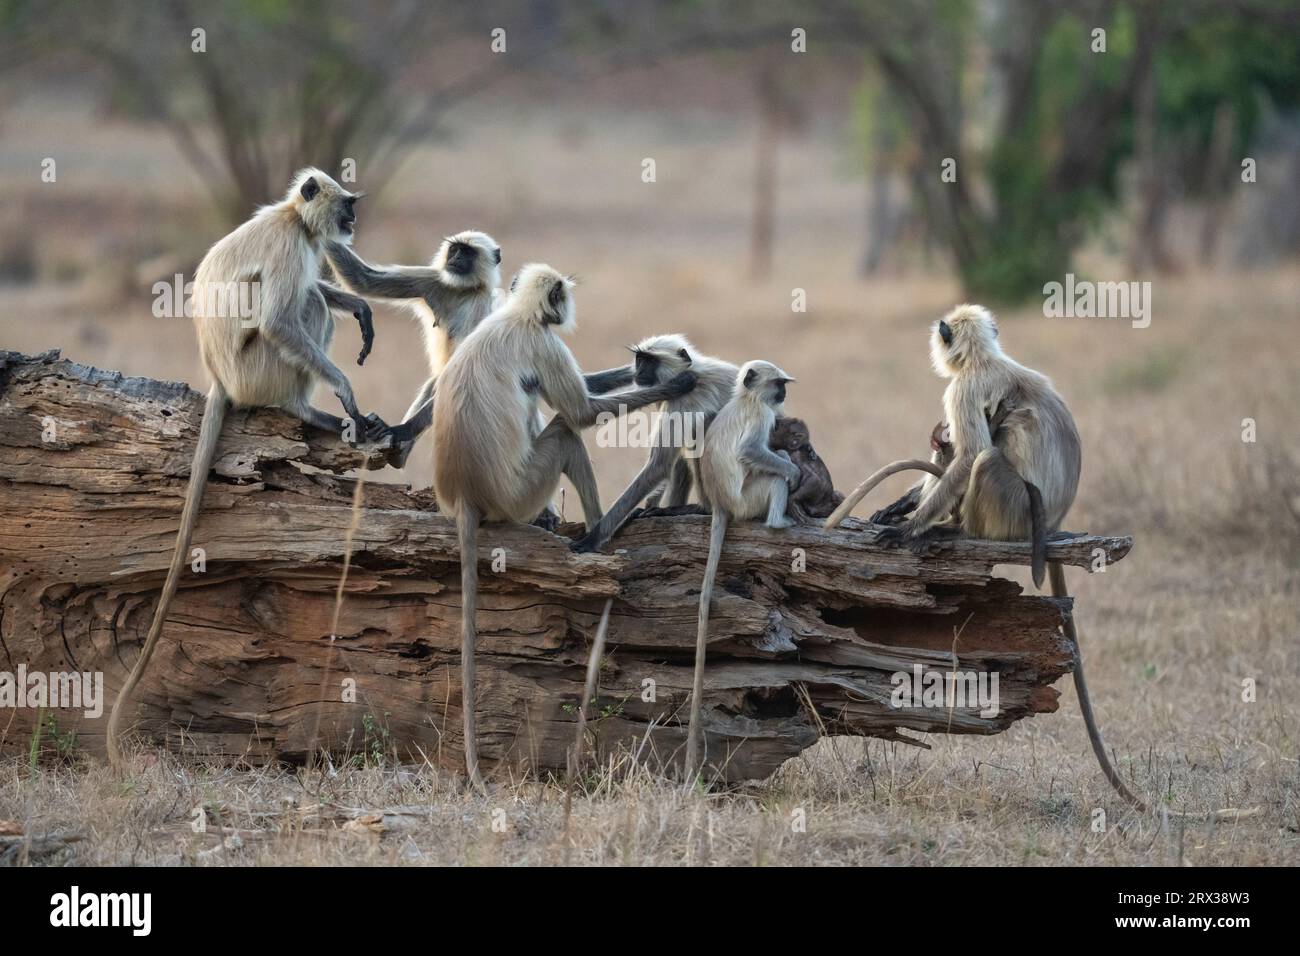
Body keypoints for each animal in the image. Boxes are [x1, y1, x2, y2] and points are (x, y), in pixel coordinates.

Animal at [104, 170, 390, 770]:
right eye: (347, 206)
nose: (353, 221)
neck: (291, 219)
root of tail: (220, 378)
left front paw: (357, 305)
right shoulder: (288, 247)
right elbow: (280, 318)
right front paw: (345, 391)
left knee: (311, 298)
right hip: (263, 369)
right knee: (300, 308)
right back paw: (310, 412)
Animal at [434, 264, 702, 790]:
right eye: (557, 295)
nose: (563, 307)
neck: (517, 316)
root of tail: (465, 498)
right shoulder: (544, 342)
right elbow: (581, 413)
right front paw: (673, 386)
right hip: (521, 491)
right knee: (564, 430)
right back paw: (602, 534)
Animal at [572, 332, 743, 554]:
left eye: (651, 361)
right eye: (640, 359)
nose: (639, 371)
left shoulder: (684, 399)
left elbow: (659, 466)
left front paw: (592, 538)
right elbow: (668, 462)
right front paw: (648, 508)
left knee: (703, 427)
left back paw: (702, 509)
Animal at [686, 361, 795, 780]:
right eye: (778, 384)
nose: (784, 394)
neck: (746, 399)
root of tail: (721, 502)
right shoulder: (762, 416)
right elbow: (753, 451)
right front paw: (793, 467)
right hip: (749, 501)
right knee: (772, 474)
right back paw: (778, 521)